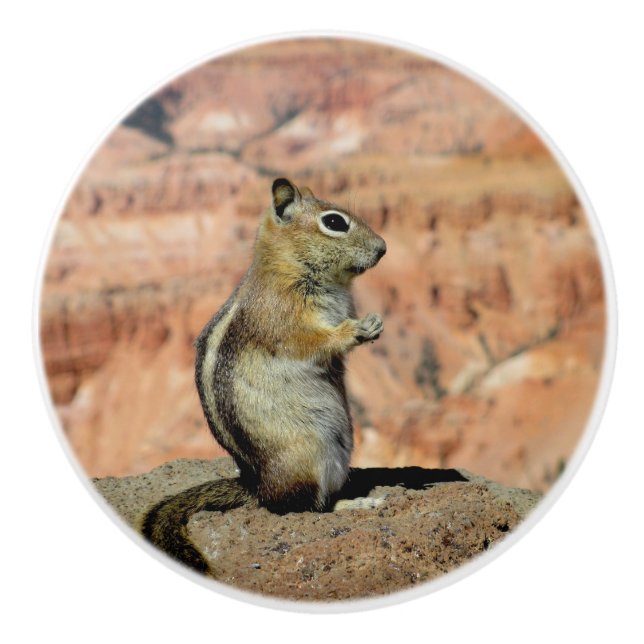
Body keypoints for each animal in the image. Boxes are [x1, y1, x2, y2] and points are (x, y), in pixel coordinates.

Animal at [141, 177, 386, 574]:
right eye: (335, 222)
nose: (383, 248)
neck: (288, 266)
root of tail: (257, 486)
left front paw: (374, 323)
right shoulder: (284, 318)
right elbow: (312, 342)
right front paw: (355, 330)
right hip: (309, 456)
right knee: (300, 508)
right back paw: (356, 504)